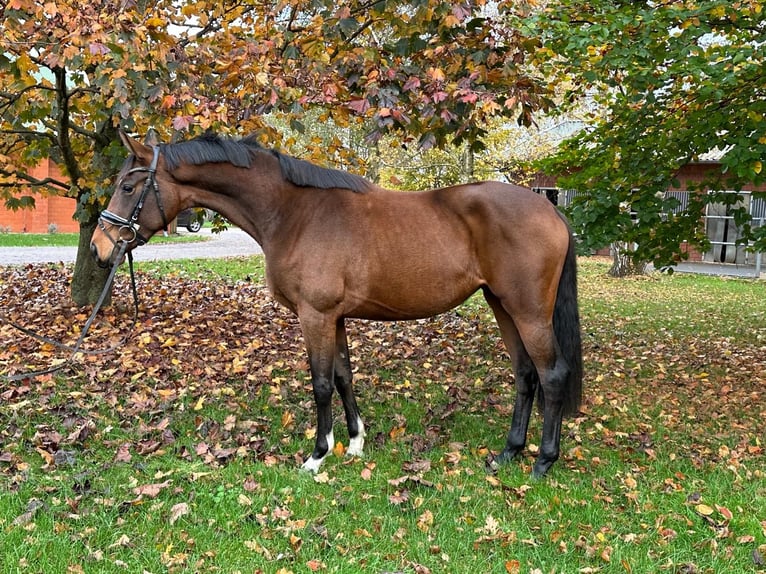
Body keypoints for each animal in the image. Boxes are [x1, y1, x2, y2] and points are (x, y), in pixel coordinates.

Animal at [91, 133, 584, 480]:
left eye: (130, 185)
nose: (99, 248)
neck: (295, 213)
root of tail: (552, 210)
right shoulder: (337, 317)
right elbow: (345, 377)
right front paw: (356, 441)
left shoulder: (316, 315)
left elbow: (322, 384)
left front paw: (318, 454)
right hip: (502, 305)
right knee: (525, 376)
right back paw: (508, 452)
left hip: (528, 311)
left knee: (551, 374)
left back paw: (543, 461)